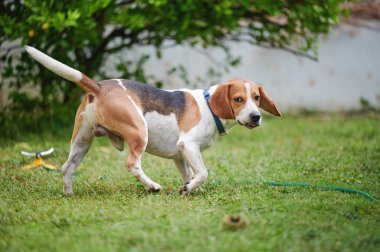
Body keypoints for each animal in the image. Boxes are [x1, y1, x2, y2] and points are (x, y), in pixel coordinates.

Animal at [26, 45, 280, 195]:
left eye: (256, 98)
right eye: (238, 99)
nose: (256, 116)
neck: (209, 106)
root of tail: (99, 87)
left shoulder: (181, 154)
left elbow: (190, 174)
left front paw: (187, 189)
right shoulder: (189, 145)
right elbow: (203, 173)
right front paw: (190, 187)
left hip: (82, 141)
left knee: (66, 167)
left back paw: (69, 194)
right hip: (139, 131)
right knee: (132, 164)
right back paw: (152, 186)